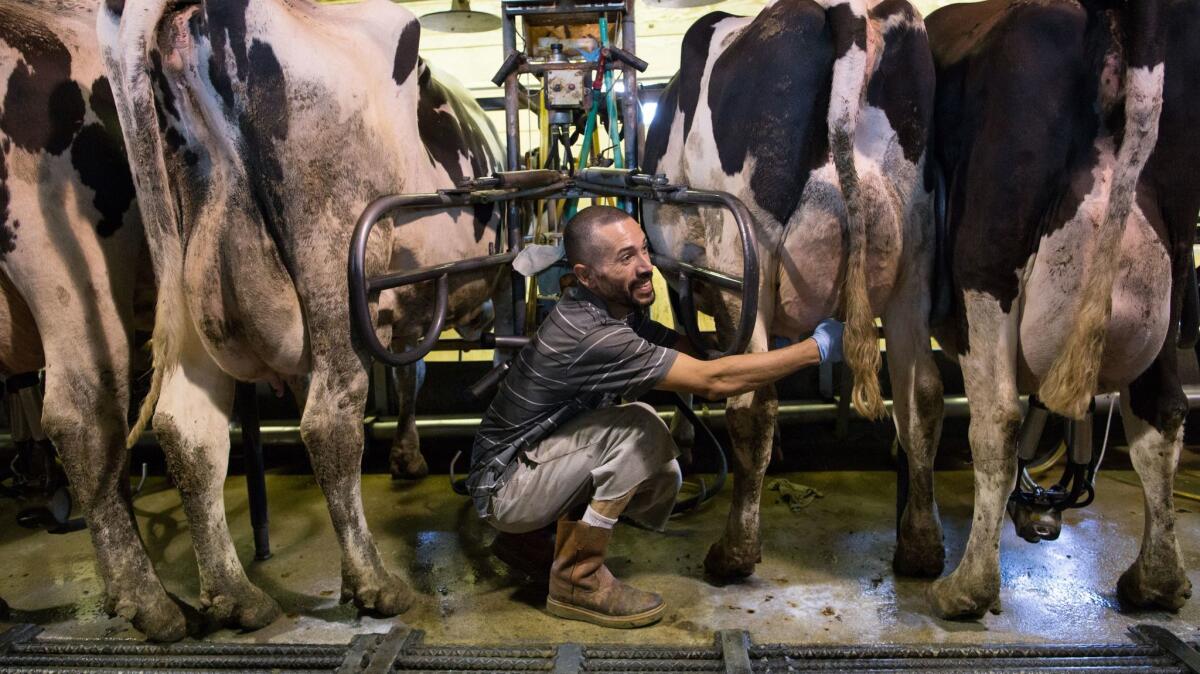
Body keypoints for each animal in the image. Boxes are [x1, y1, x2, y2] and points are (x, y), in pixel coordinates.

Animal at [98, 0, 501, 628]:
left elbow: (410, 374)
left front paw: (406, 456)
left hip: (188, 285)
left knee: (189, 432)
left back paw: (235, 596)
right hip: (331, 252)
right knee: (330, 421)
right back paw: (374, 583)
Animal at [643, 0, 940, 578]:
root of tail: (845, 11)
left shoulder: (690, 274)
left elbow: (694, 352)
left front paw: (687, 439)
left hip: (745, 256)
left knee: (751, 407)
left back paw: (734, 553)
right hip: (914, 263)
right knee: (922, 396)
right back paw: (921, 548)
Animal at [921, 0, 1195, 618]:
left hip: (986, 263)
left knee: (996, 420)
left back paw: (966, 587)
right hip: (1173, 270)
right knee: (1161, 413)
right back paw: (1156, 580)